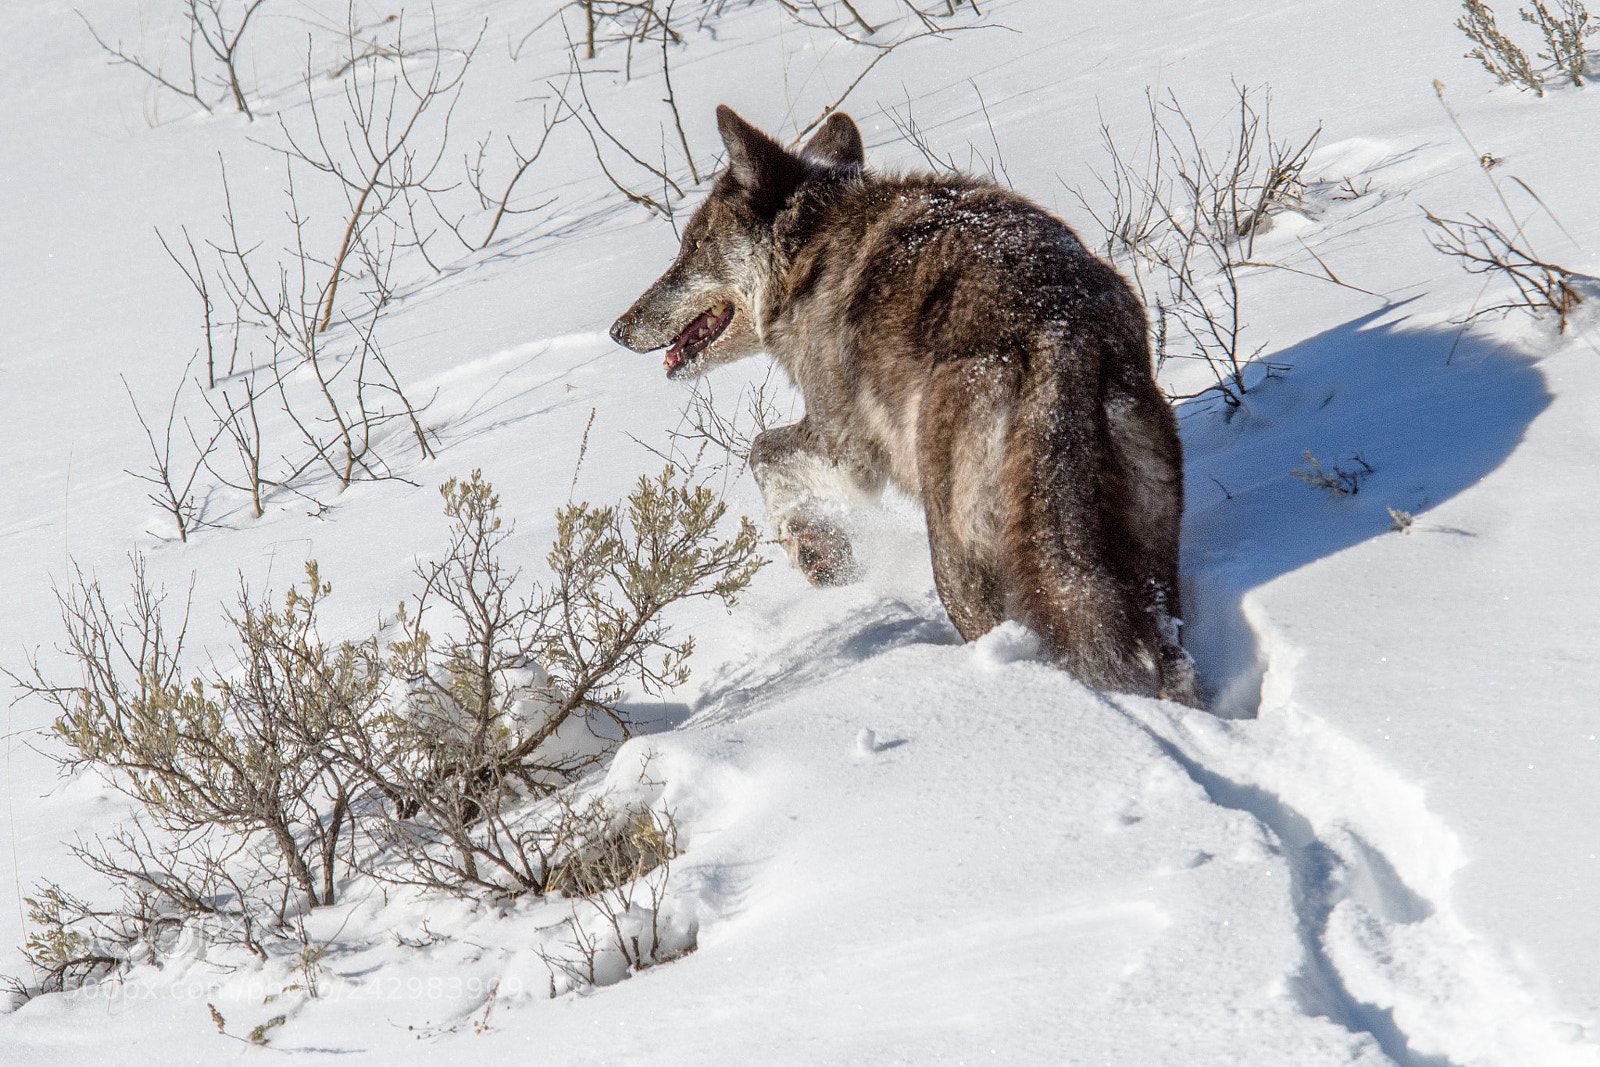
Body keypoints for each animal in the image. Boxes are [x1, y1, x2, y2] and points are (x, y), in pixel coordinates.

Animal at [611, 105, 1201, 706]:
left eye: (692, 248)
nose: (617, 330)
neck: (809, 253)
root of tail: (1061, 334)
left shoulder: (845, 449)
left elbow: (760, 452)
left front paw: (819, 552)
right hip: (1143, 564)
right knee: (1171, 662)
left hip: (958, 567)